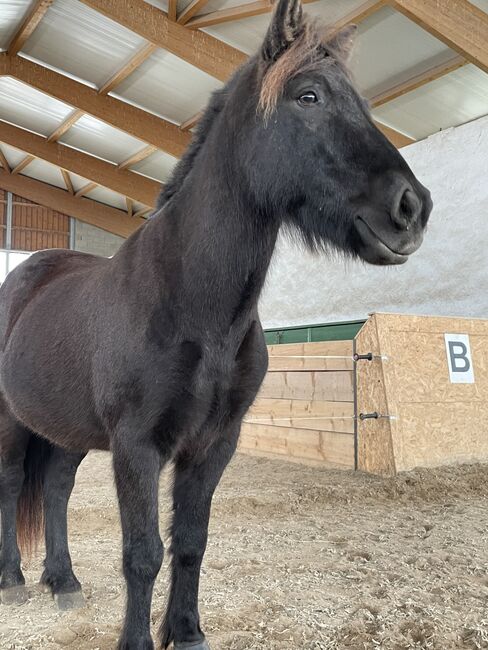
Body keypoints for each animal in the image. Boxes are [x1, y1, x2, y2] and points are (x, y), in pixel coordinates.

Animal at [0, 0, 432, 644]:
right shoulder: (137, 447)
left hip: (66, 431)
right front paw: (137, 640)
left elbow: (191, 544)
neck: (192, 309)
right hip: (11, 421)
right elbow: (142, 554)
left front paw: (186, 632)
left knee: (55, 487)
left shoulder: (212, 446)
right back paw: (13, 581)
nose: (412, 208)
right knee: (9, 485)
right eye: (307, 96)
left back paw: (64, 582)